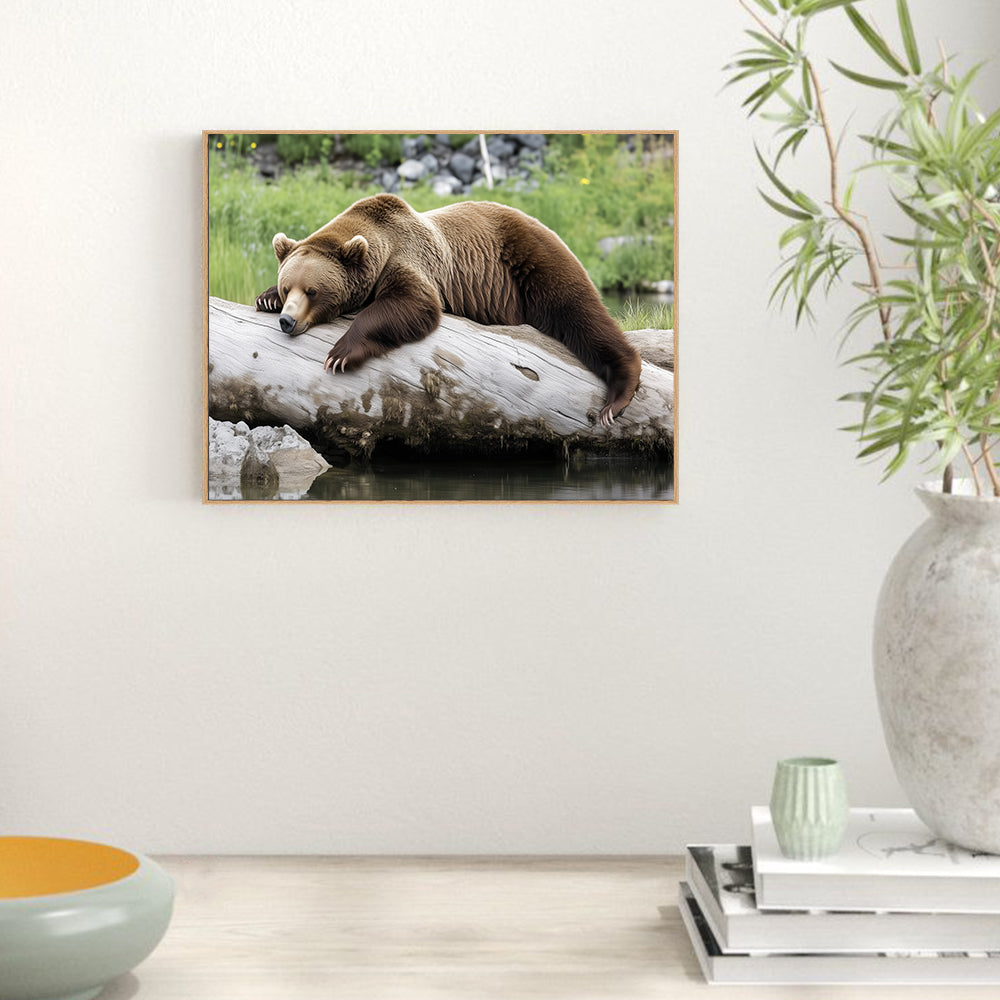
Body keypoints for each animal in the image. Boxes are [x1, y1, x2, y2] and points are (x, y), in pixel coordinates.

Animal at [254, 194, 641, 426]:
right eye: (288, 287)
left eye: (312, 291)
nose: (288, 320)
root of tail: (535, 219)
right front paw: (265, 298)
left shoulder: (409, 259)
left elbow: (412, 304)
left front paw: (340, 354)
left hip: (532, 262)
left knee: (579, 311)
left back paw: (616, 397)